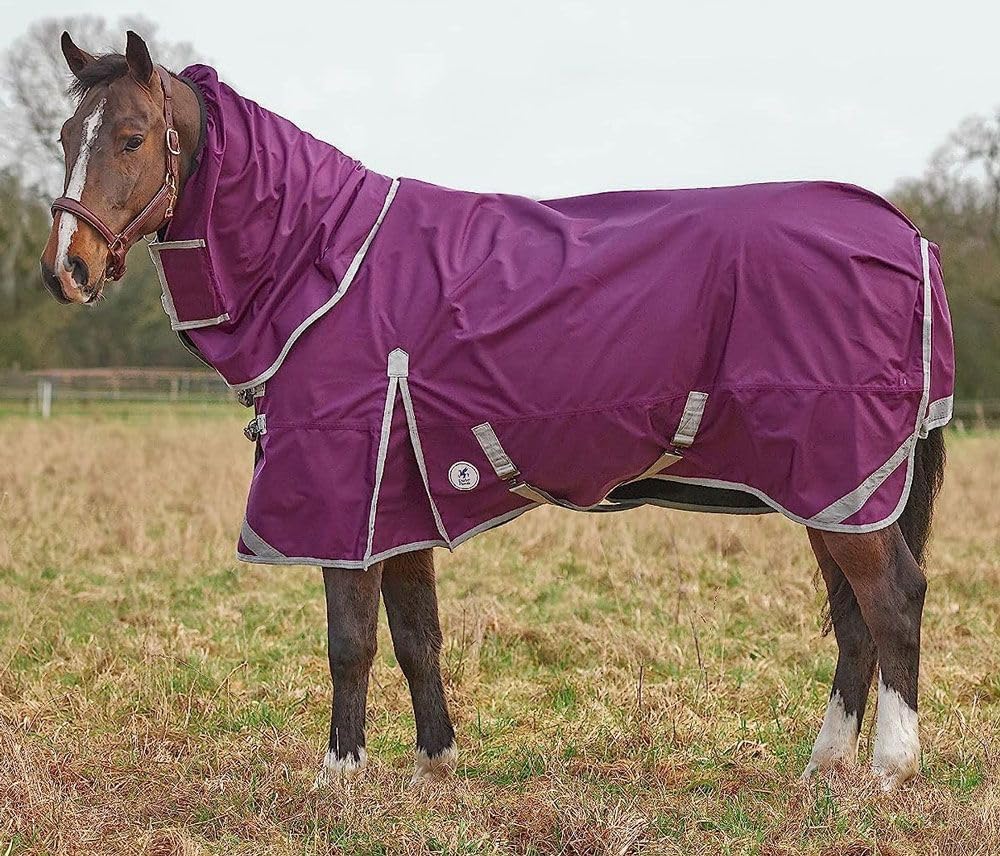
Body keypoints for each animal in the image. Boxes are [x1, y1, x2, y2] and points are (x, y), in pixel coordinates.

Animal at [39, 31, 952, 791]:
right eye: (63, 138)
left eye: (130, 137)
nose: (64, 271)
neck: (325, 262)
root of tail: (905, 235)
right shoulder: (399, 496)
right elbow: (416, 636)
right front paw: (433, 766)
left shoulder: (347, 488)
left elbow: (350, 640)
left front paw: (338, 779)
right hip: (829, 489)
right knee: (853, 619)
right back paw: (823, 767)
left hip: (839, 478)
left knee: (893, 600)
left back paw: (890, 770)